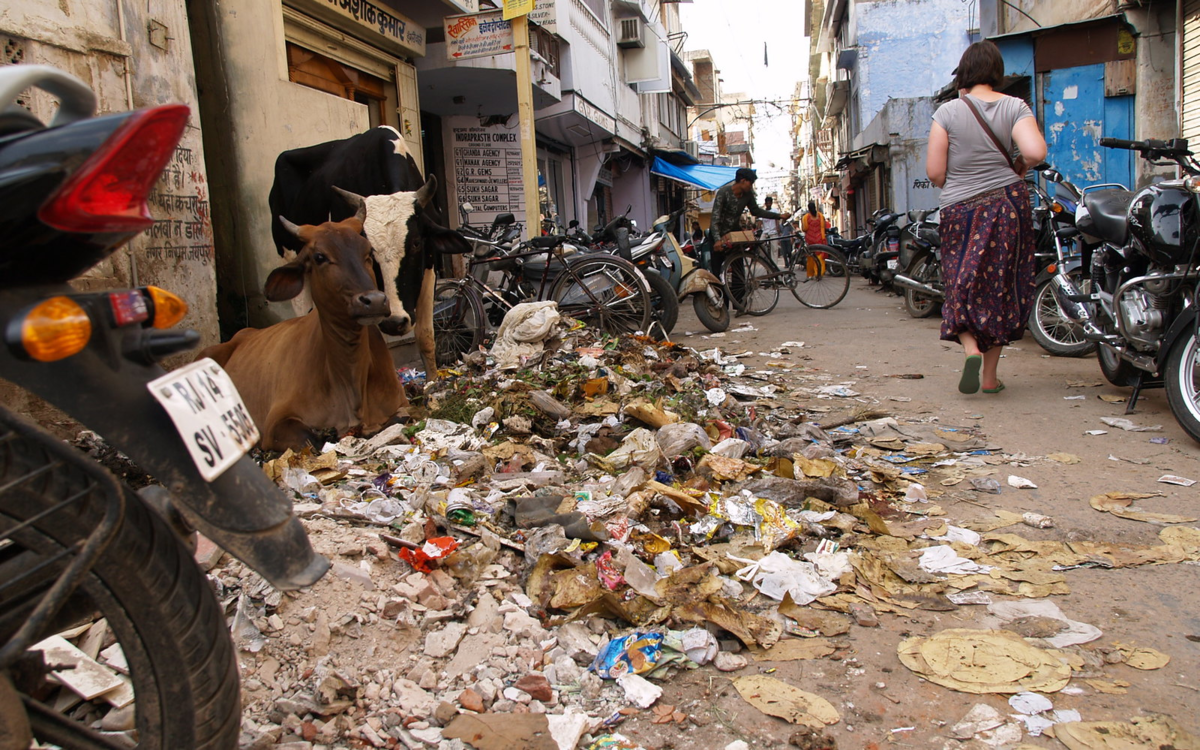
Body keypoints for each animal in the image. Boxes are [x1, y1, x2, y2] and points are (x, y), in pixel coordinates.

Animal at [196, 216, 403, 451]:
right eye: (319, 257)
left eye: (368, 252)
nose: (374, 300)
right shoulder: (276, 424)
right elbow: (311, 439)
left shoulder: (400, 404)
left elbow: (397, 419)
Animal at [268, 124, 468, 376]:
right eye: (368, 251)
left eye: (416, 243)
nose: (395, 321)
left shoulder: (429, 266)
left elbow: (425, 336)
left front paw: (432, 381)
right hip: (290, 262)